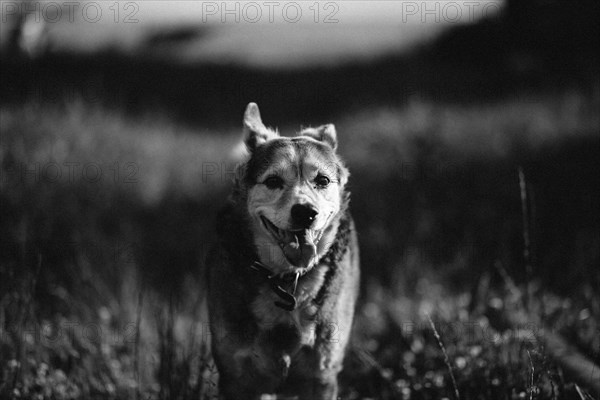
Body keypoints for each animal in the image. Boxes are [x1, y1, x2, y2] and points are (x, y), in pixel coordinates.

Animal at [206, 104, 360, 400]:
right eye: (273, 180)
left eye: (322, 180)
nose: (305, 213)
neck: (288, 279)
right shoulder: (235, 376)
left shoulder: (322, 375)